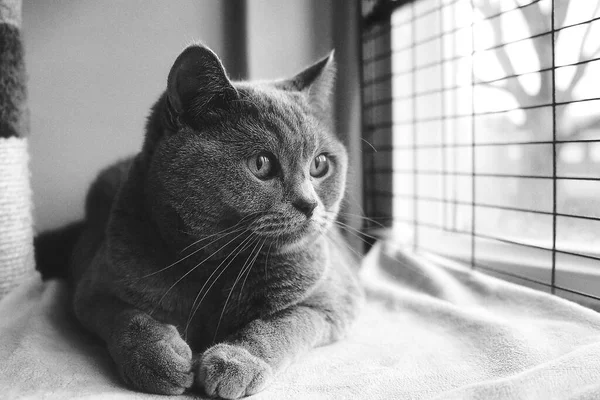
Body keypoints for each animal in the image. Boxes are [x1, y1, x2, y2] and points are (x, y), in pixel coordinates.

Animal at [41, 43, 366, 400]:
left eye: (320, 165)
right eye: (261, 163)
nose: (310, 204)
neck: (216, 269)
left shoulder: (331, 300)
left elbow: (284, 323)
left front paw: (236, 362)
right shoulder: (94, 290)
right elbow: (128, 316)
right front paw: (158, 357)